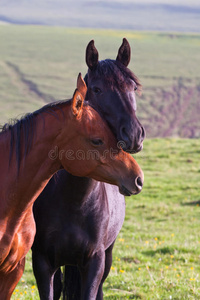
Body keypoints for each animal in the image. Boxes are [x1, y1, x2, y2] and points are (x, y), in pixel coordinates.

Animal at [32, 38, 145, 298]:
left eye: (133, 88)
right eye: (97, 89)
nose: (134, 135)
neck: (74, 201)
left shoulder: (95, 262)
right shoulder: (42, 262)